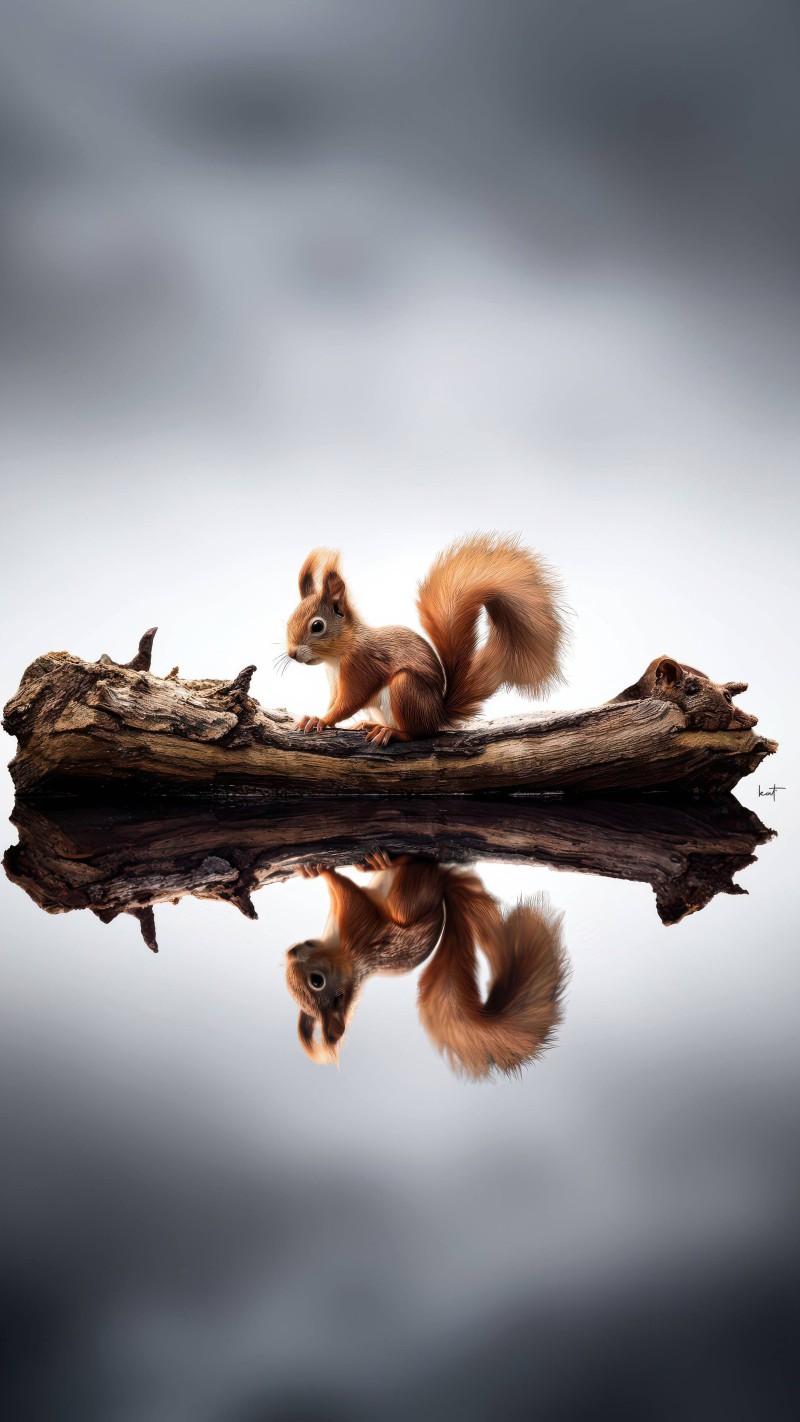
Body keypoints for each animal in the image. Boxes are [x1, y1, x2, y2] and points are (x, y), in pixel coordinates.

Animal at [284, 532, 567, 744]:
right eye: (288, 620)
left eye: (317, 626)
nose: (291, 654)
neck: (336, 657)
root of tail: (437, 715)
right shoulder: (335, 681)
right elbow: (334, 700)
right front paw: (316, 716)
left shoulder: (362, 665)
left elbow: (348, 701)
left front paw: (321, 719)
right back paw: (367, 723)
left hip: (406, 688)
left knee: (417, 733)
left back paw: (391, 732)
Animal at [285, 855, 569, 1079]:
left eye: (316, 981)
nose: (291, 952)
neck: (345, 956)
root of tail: (441, 901)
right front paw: (318, 871)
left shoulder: (359, 926)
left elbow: (349, 893)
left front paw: (319, 872)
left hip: (404, 905)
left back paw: (386, 863)